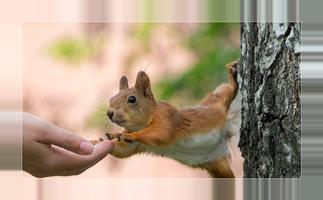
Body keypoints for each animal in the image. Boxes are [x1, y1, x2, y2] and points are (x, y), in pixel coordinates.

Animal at [92, 61, 242, 178]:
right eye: (111, 99)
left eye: (132, 99)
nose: (109, 113)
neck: (142, 124)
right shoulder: (137, 145)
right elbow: (122, 151)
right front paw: (98, 141)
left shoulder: (167, 118)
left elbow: (160, 133)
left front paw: (122, 134)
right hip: (217, 167)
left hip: (218, 100)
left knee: (228, 91)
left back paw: (232, 78)